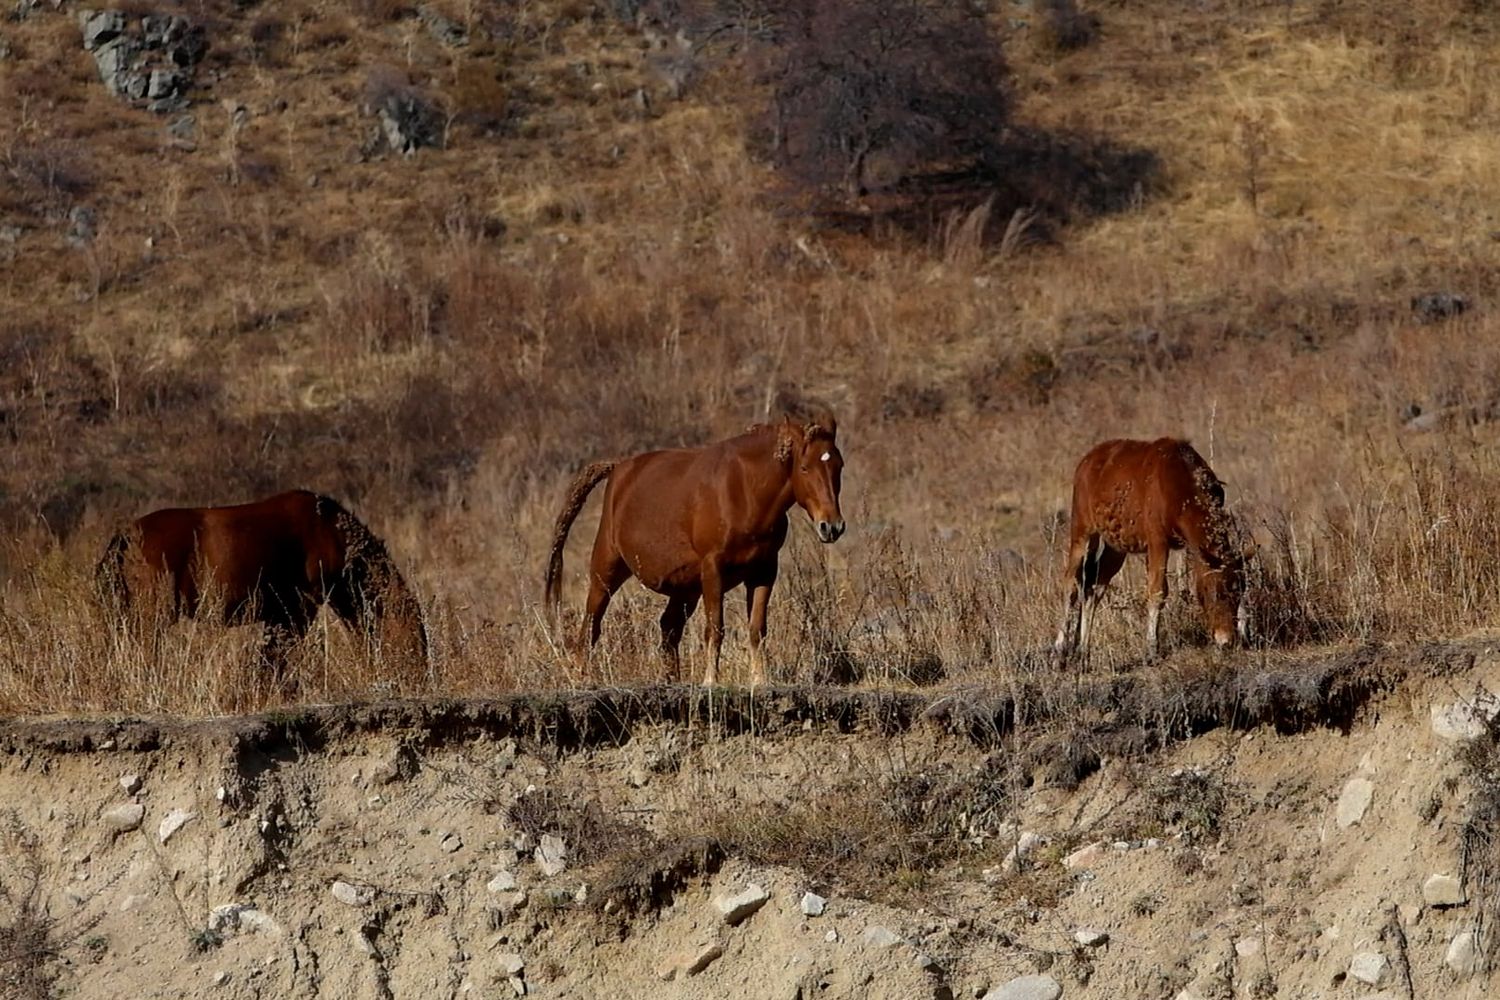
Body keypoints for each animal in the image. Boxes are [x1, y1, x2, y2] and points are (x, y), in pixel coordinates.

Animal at [96, 490, 428, 683]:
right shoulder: (299, 609)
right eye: (415, 635)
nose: (422, 674)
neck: (333, 533)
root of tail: (124, 538)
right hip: (152, 615)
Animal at [544, 405, 846, 686]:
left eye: (838, 466)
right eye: (804, 467)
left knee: (668, 628)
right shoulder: (713, 568)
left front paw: (759, 680)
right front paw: (711, 680)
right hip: (606, 569)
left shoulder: (764, 571)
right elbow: (715, 627)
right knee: (591, 626)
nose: (832, 526)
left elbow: (756, 628)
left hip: (686, 587)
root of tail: (617, 469)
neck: (744, 491)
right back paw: (582, 678)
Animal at [1053, 438, 1249, 661]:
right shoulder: (1157, 540)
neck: (1183, 490)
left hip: (1116, 545)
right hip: (1083, 530)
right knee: (1070, 581)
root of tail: (1085, 462)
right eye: (1212, 592)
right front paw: (1151, 648)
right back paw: (1059, 649)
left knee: (1094, 586)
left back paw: (1083, 650)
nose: (1226, 640)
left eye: (1237, 593)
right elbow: (1157, 591)